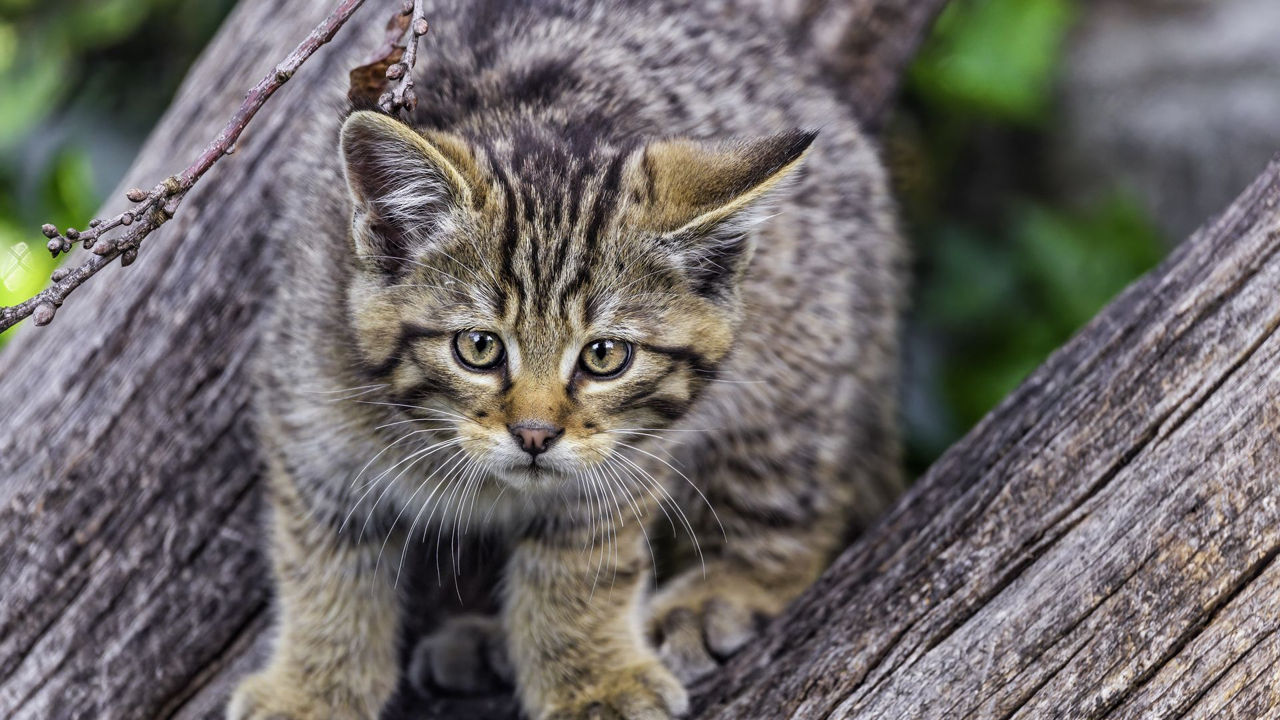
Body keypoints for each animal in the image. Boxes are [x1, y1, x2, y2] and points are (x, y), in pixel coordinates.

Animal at [232, 1, 901, 717]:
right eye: (478, 347)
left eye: (605, 356)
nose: (535, 435)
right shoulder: (309, 412)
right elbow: (323, 563)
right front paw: (312, 688)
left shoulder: (625, 453)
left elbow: (581, 561)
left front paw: (596, 681)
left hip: (796, 358)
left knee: (795, 499)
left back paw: (718, 593)